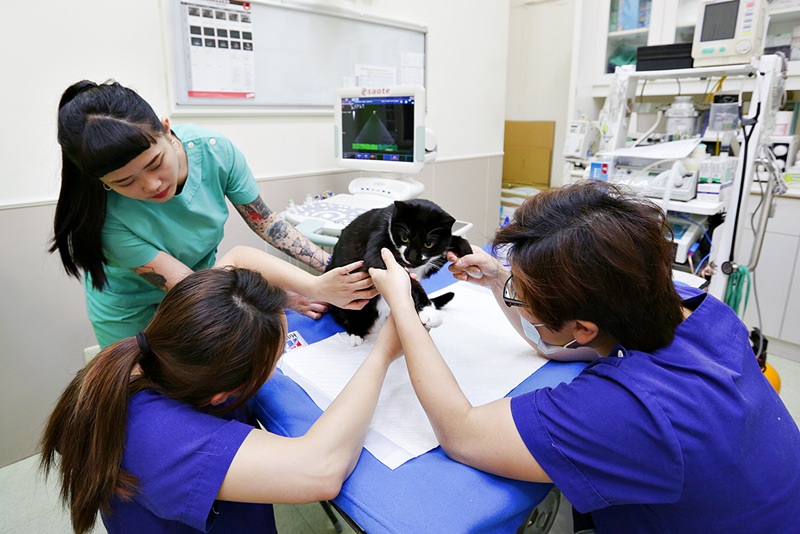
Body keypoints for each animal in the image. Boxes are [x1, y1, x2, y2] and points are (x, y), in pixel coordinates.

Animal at [326, 199, 476, 346]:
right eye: (405, 238)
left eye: (428, 244)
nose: (412, 258)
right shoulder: (378, 245)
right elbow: (408, 280)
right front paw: (428, 310)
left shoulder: (425, 265)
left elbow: (448, 245)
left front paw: (468, 254)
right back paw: (355, 333)